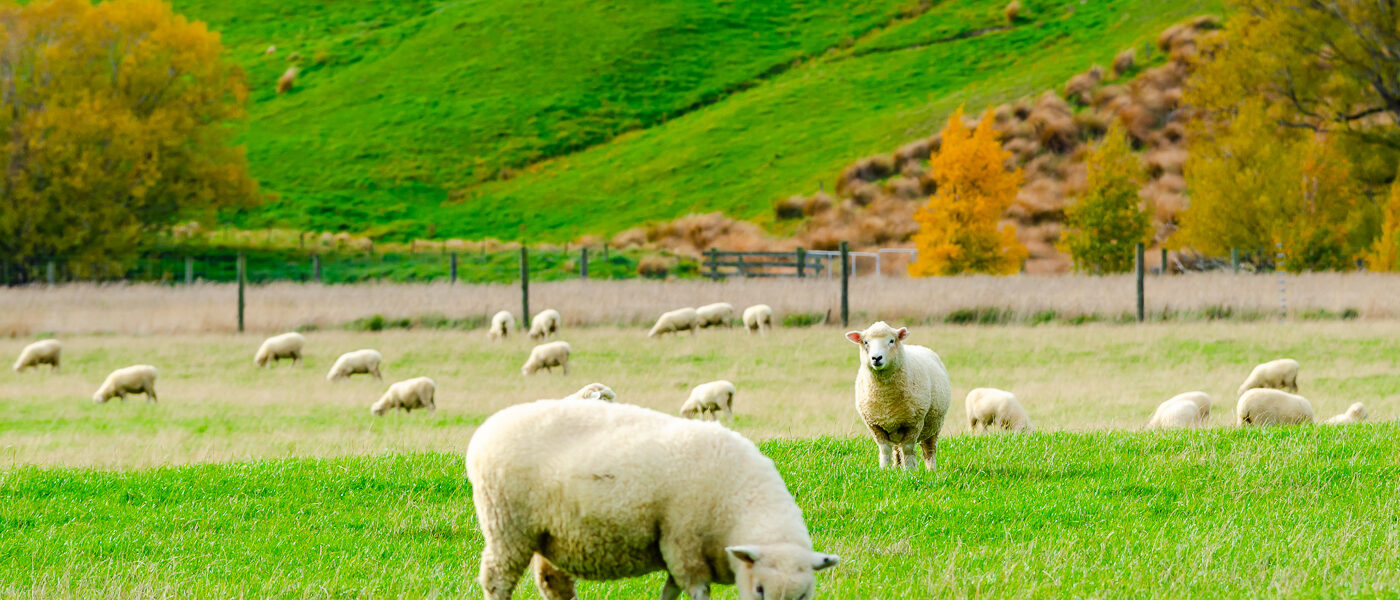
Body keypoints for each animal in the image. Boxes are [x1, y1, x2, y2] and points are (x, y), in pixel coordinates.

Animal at [467, 399, 839, 600]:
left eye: (803, 595)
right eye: (760, 589)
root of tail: (485, 431)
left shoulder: (678, 550)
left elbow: (670, 590)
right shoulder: (683, 544)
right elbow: (695, 592)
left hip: (549, 532)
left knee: (553, 582)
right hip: (507, 526)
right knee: (497, 579)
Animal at [846, 321, 952, 470]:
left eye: (891, 340)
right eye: (866, 342)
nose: (876, 358)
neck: (885, 397)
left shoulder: (914, 423)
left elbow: (907, 449)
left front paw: (910, 471)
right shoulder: (874, 425)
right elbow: (885, 449)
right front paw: (884, 470)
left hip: (934, 425)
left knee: (929, 450)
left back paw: (931, 470)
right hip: (895, 429)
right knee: (897, 450)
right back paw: (896, 468)